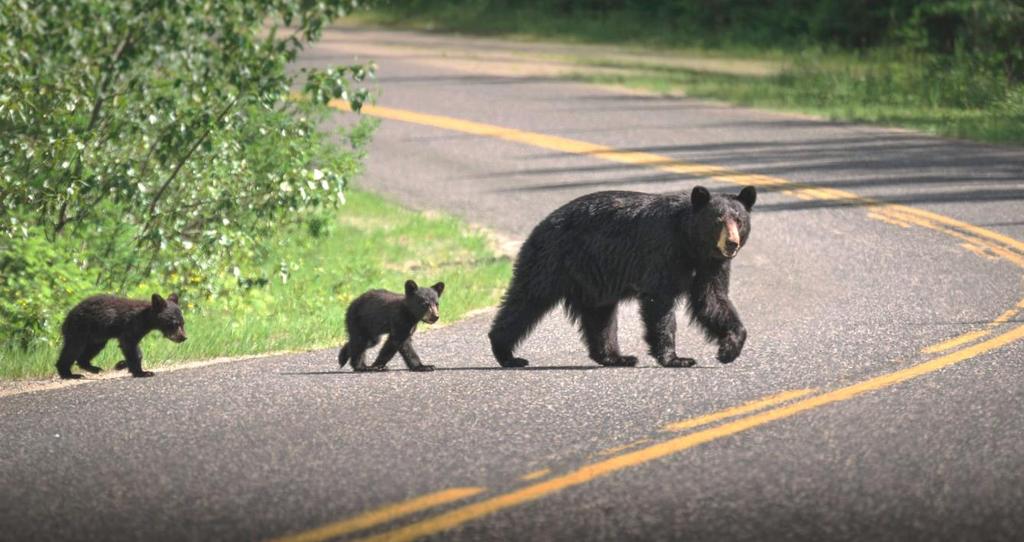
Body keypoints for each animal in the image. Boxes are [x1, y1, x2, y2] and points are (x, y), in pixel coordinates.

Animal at [54, 293, 187, 379]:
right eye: (175, 324)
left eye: (183, 323)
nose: (183, 338)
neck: (146, 318)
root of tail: (67, 318)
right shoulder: (131, 325)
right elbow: (129, 345)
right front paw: (142, 372)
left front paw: (121, 364)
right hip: (79, 329)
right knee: (73, 349)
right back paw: (69, 374)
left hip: (97, 337)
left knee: (90, 350)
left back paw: (93, 368)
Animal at [491, 184, 757, 366]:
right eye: (718, 220)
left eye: (739, 220)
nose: (732, 243)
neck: (691, 244)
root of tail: (541, 224)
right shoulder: (663, 251)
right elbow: (659, 302)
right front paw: (676, 358)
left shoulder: (712, 265)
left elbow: (712, 300)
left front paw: (728, 350)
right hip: (552, 259)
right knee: (528, 299)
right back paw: (507, 354)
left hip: (592, 278)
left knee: (599, 315)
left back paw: (616, 357)